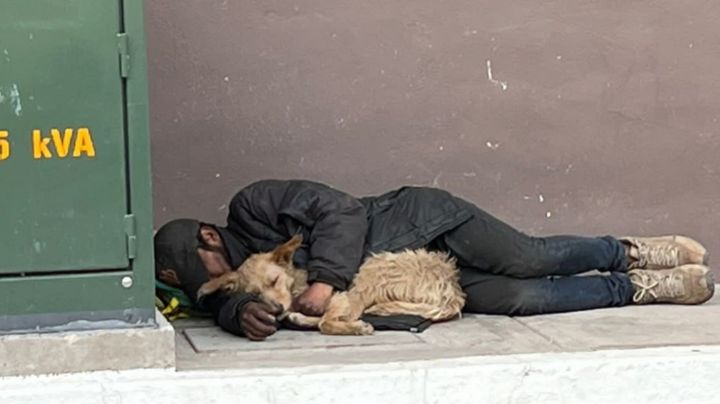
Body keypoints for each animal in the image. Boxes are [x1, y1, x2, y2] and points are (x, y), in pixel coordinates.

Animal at [197, 234, 466, 334]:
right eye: (255, 293)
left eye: (274, 280)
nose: (278, 310)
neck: (297, 285)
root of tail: (452, 289)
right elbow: (323, 320)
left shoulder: (341, 296)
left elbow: (326, 322)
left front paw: (356, 328)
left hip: (371, 269)